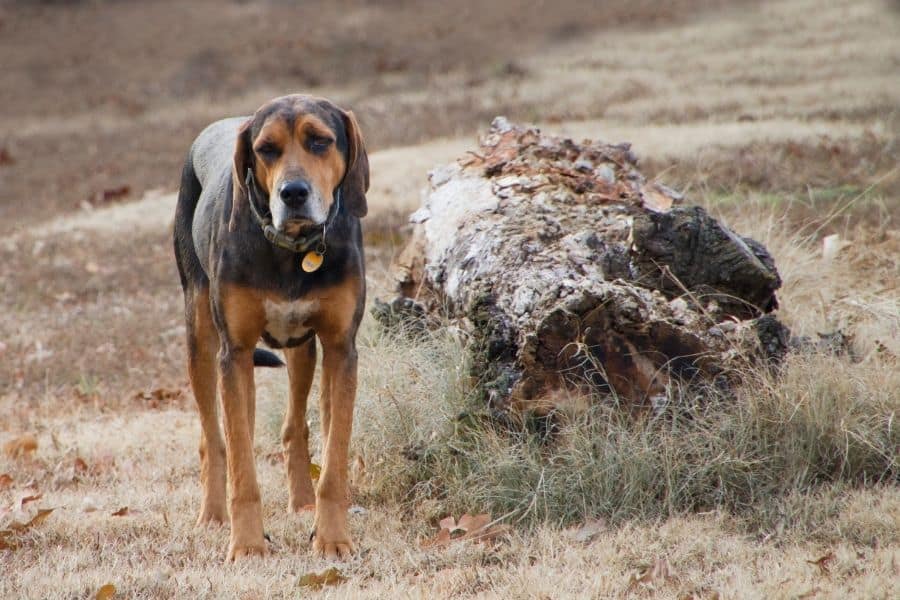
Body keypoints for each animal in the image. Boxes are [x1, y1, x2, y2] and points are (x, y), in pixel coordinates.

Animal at [172, 92, 370, 556]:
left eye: (320, 141)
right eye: (266, 149)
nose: (293, 193)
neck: (292, 253)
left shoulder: (341, 349)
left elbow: (334, 457)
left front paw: (332, 538)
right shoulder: (235, 352)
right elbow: (241, 463)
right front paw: (246, 545)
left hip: (301, 350)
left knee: (294, 426)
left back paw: (301, 502)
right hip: (203, 340)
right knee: (216, 438)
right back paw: (213, 514)